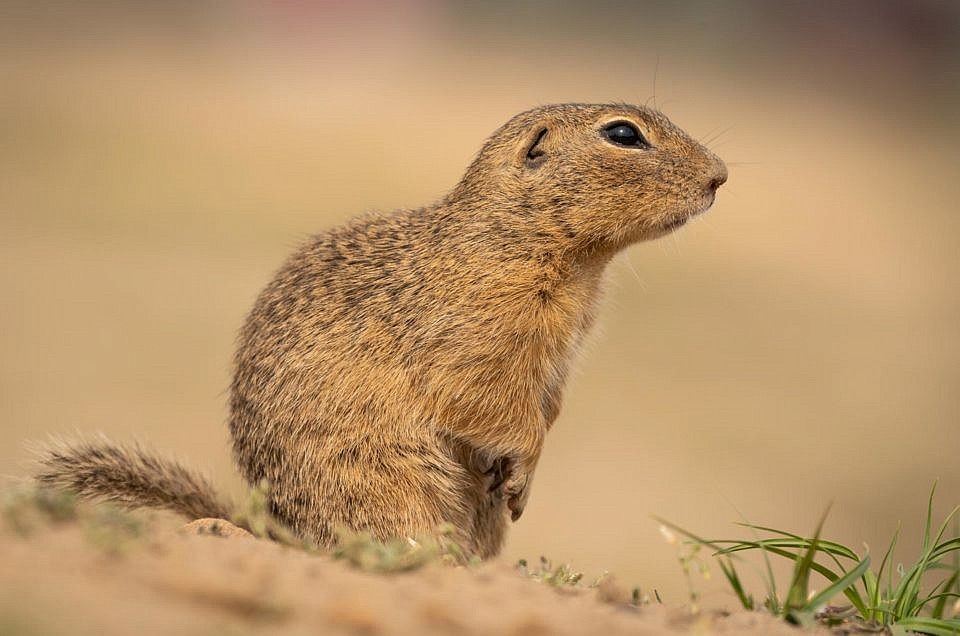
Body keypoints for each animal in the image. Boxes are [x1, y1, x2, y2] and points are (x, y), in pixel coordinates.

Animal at [37, 103, 728, 556]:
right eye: (623, 134)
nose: (720, 176)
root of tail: (283, 530)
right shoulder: (476, 339)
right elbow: (493, 405)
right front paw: (526, 464)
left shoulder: (563, 351)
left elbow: (548, 405)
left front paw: (525, 469)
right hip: (389, 483)